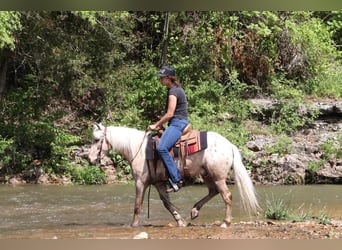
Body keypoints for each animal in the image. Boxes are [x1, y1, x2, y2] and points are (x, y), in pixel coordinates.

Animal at [88, 122, 260, 228]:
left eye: (96, 139)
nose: (90, 159)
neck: (138, 149)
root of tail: (229, 145)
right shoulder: (158, 183)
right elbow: (167, 204)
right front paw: (181, 221)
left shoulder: (140, 182)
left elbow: (137, 205)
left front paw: (133, 225)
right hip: (208, 175)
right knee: (213, 191)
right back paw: (194, 211)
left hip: (218, 177)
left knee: (227, 196)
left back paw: (226, 223)